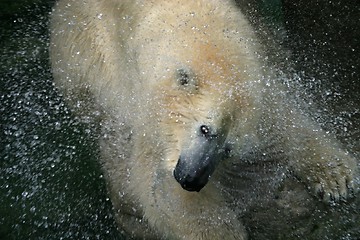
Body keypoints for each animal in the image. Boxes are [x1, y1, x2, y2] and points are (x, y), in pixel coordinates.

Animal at [49, 0, 358, 239]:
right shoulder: (145, 104)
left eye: (229, 149)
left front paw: (337, 178)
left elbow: (286, 121)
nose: (191, 179)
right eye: (204, 129)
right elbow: (160, 186)